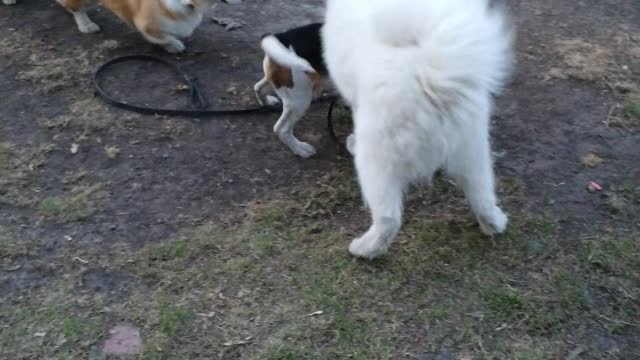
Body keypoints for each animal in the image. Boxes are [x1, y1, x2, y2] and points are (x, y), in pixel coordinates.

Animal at [255, 22, 336, 158]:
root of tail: (282, 37)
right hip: (300, 100)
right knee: (281, 129)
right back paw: (300, 149)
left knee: (257, 87)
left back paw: (266, 102)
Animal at [322, 0, 512, 258]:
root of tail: (432, 73)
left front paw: (351, 141)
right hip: (473, 150)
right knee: (482, 196)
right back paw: (494, 224)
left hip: (377, 162)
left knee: (388, 219)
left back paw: (365, 249)